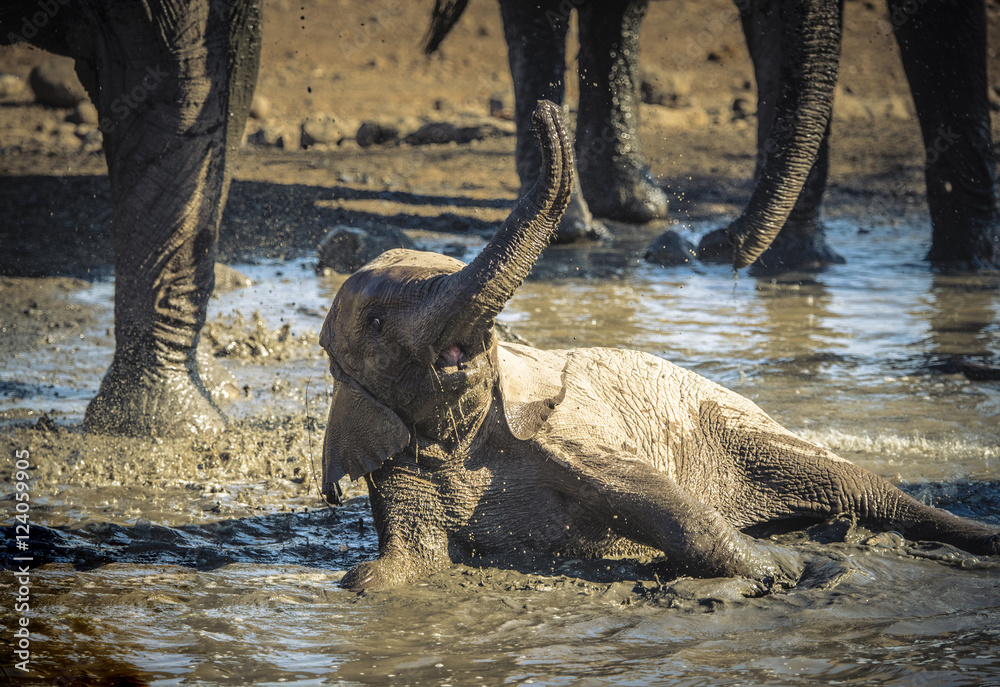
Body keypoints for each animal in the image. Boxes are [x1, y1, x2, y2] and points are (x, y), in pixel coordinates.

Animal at [320, 101, 1000, 592]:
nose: (544, 107)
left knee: (858, 485)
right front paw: (367, 578)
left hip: (738, 424)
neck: (464, 436)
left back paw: (972, 540)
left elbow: (662, 504)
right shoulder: (394, 451)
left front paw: (788, 572)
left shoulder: (565, 432)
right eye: (375, 322)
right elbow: (397, 567)